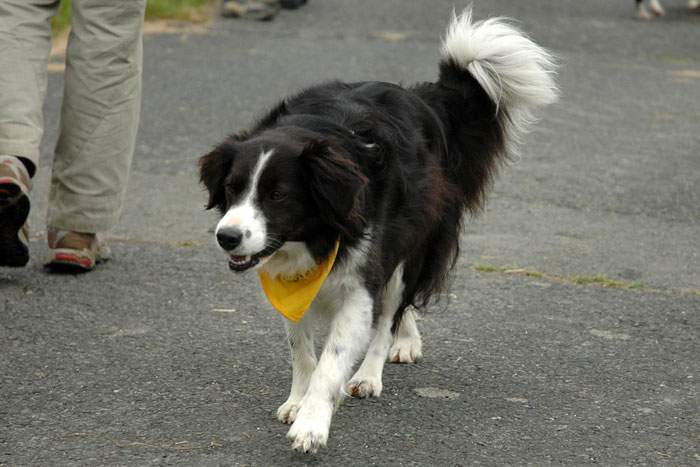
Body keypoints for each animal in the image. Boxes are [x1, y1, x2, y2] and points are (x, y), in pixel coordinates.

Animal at [198, 8, 556, 454]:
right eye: (232, 188)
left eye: (278, 195)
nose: (226, 237)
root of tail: (421, 97)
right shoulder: (289, 283)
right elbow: (301, 349)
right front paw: (298, 401)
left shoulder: (361, 279)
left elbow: (334, 356)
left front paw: (313, 423)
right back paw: (405, 340)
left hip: (411, 236)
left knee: (390, 312)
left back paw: (373, 370)